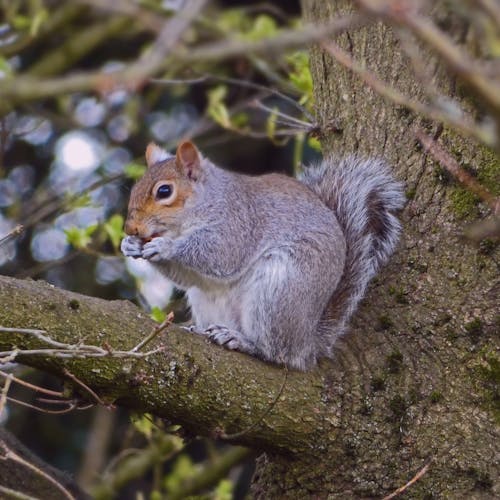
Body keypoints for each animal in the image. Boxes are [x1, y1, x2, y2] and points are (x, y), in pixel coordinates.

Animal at [122, 141, 406, 372]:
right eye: (134, 188)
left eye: (164, 191)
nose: (130, 228)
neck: (205, 201)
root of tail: (306, 343)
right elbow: (187, 276)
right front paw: (130, 246)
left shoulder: (236, 223)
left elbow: (220, 253)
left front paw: (165, 247)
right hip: (207, 300)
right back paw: (201, 330)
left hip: (277, 291)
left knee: (276, 352)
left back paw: (243, 341)